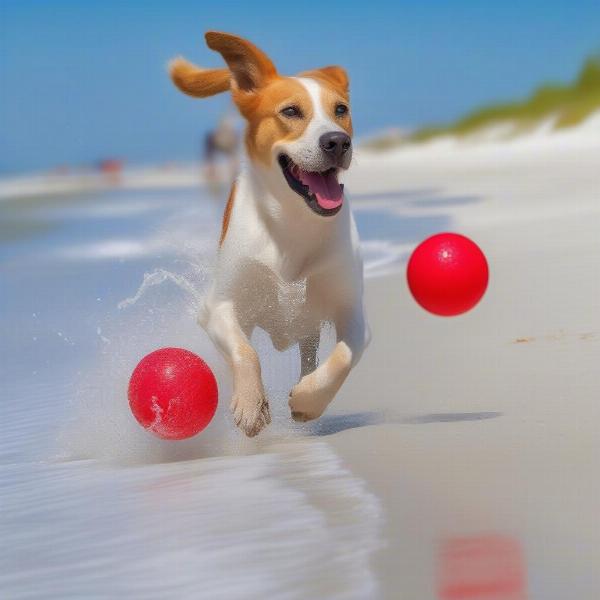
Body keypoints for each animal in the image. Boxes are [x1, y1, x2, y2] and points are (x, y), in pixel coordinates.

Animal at [166, 31, 368, 436]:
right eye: (290, 112)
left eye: (340, 110)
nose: (338, 141)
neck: (293, 221)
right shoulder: (219, 307)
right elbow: (245, 351)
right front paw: (250, 405)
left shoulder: (352, 310)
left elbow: (342, 357)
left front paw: (307, 399)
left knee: (309, 348)